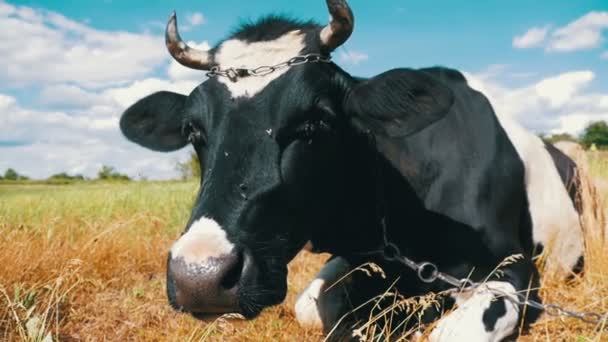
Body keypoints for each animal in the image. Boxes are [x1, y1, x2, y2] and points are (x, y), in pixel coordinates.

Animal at [117, 1, 584, 340]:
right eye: (193, 129)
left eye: (316, 121)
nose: (199, 277)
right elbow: (314, 305)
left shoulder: (514, 265)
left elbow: (453, 332)